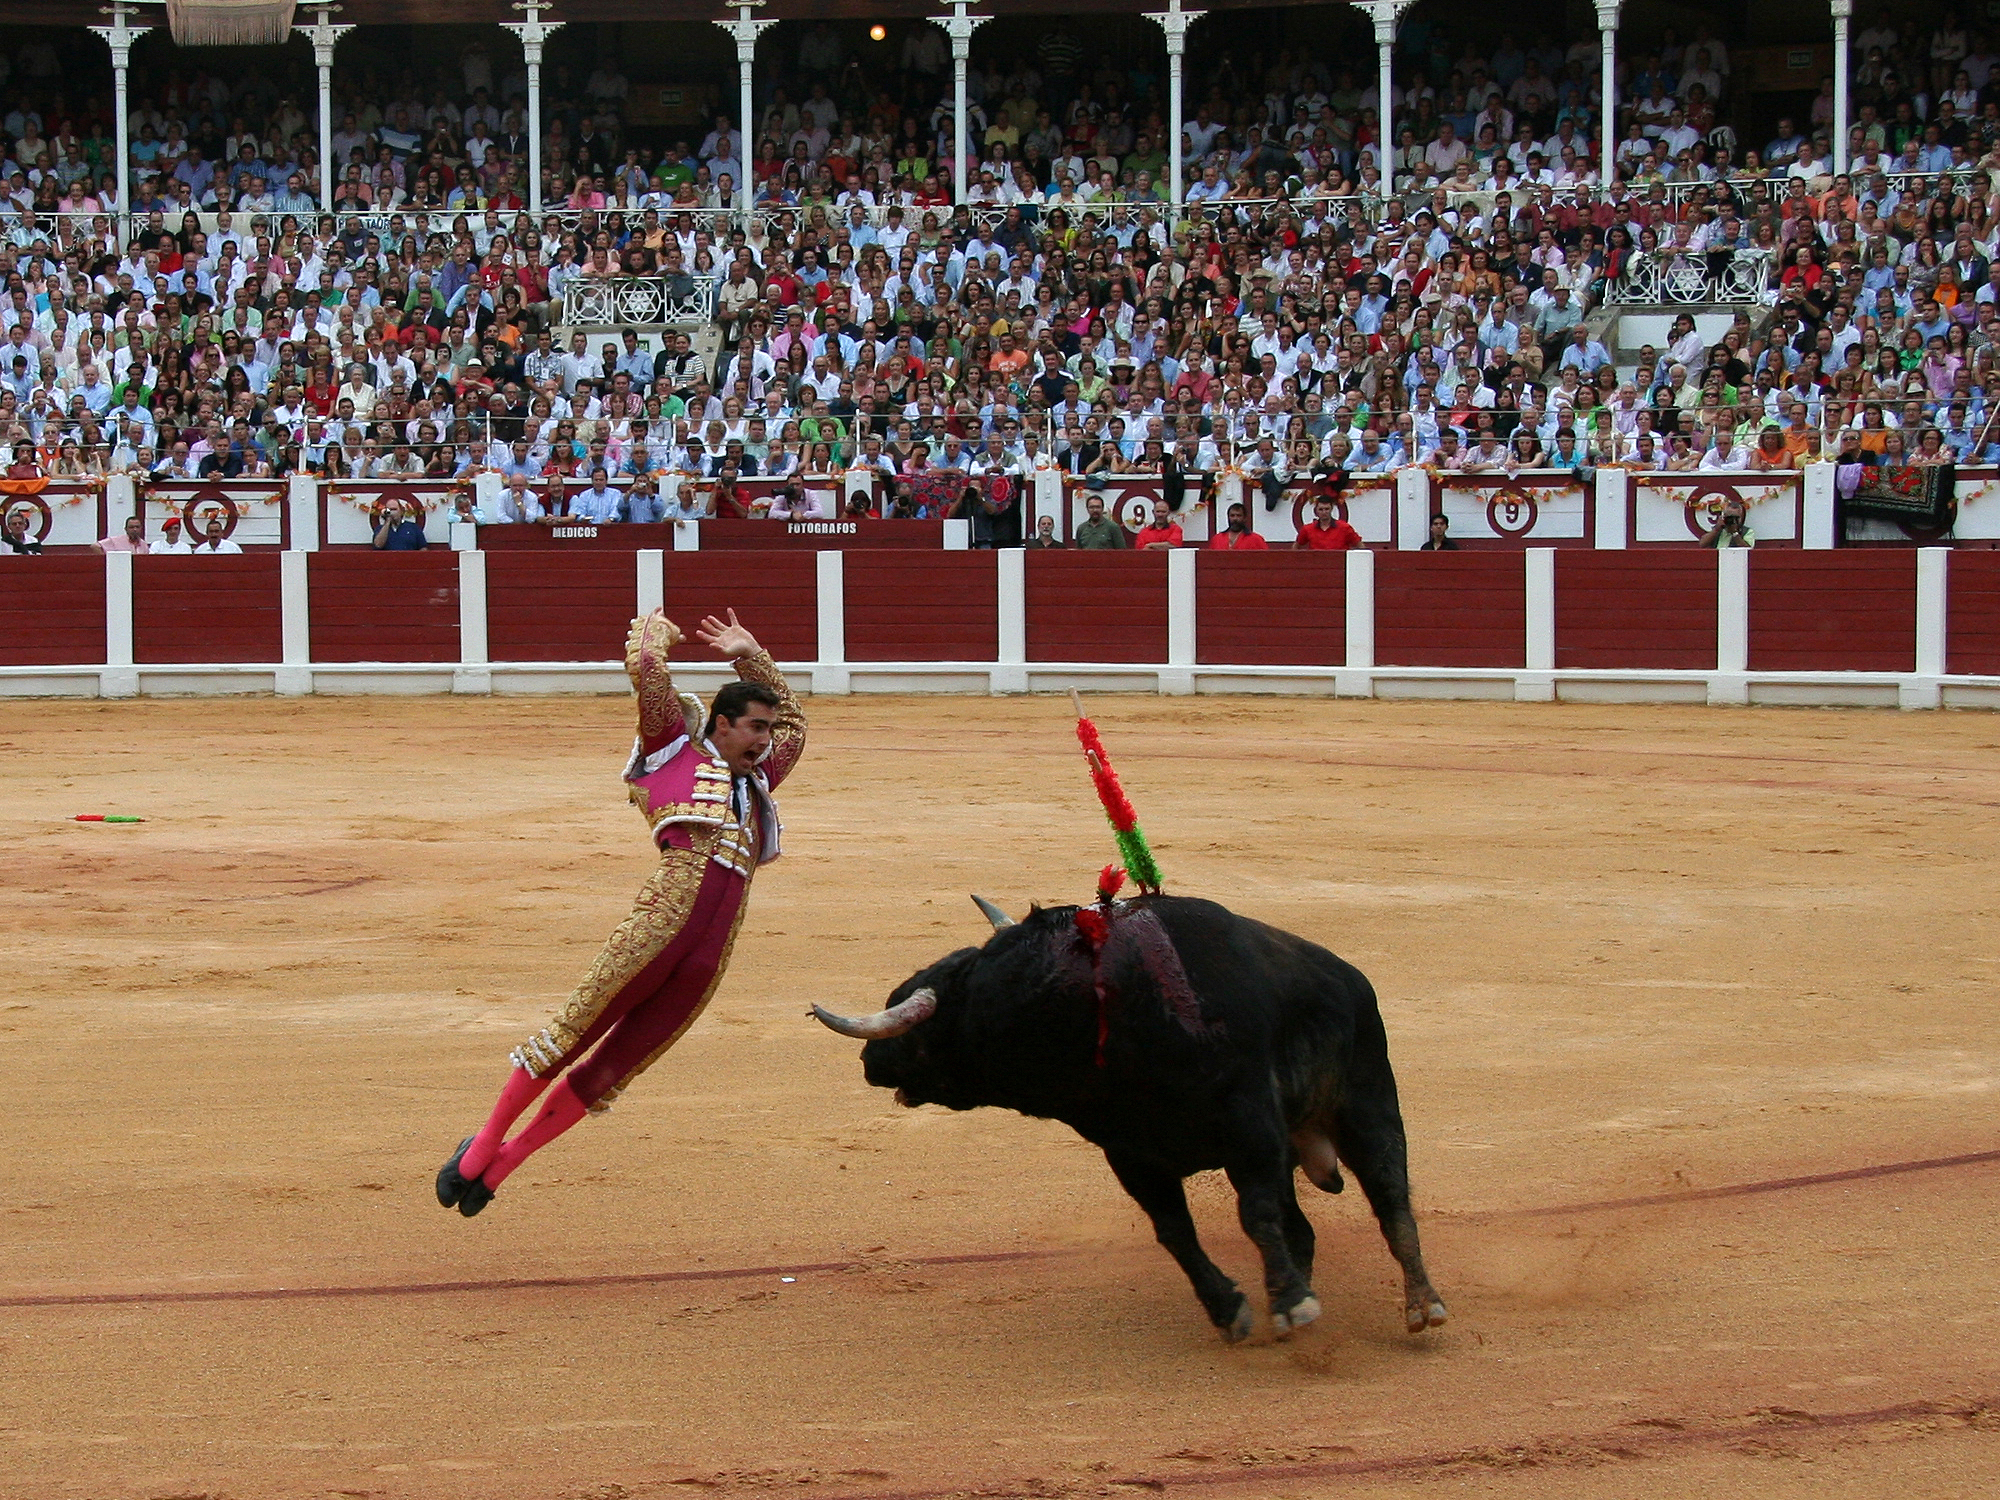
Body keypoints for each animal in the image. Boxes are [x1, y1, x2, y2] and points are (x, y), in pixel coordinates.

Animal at [812, 892, 1456, 1352]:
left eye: (927, 1035)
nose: (870, 1061)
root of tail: (1350, 978)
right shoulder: (1132, 1154)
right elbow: (1175, 1232)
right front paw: (1234, 1310)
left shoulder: (1250, 1127)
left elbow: (1256, 1215)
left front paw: (1291, 1303)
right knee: (1304, 1228)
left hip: (1367, 1107)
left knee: (1391, 1201)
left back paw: (1422, 1305)